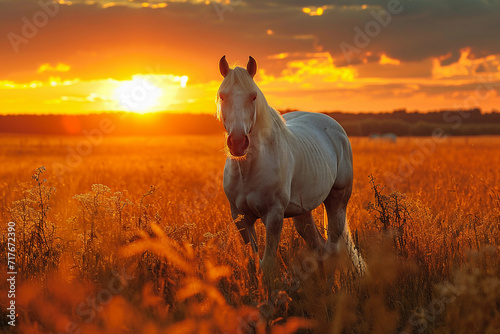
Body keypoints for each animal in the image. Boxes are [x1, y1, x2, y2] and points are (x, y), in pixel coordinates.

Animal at [216, 55, 368, 282]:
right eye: (222, 96)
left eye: (253, 97)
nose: (237, 142)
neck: (248, 170)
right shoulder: (241, 218)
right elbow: (254, 263)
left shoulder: (274, 216)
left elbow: (268, 265)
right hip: (302, 212)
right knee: (319, 248)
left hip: (337, 202)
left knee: (332, 248)